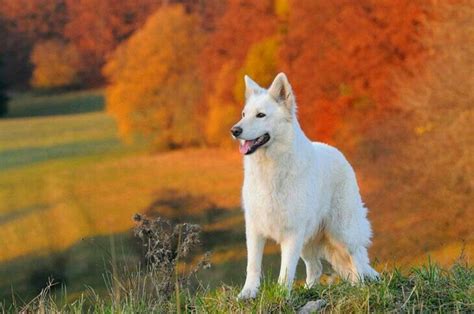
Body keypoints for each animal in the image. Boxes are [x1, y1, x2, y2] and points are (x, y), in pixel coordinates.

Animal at [231, 72, 380, 300]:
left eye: (261, 115)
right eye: (244, 114)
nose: (234, 130)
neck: (271, 169)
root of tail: (338, 153)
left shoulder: (292, 234)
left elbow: (286, 272)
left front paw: (281, 296)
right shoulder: (255, 229)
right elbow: (253, 266)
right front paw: (248, 293)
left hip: (342, 231)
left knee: (357, 258)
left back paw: (360, 287)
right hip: (307, 242)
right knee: (316, 268)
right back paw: (310, 290)